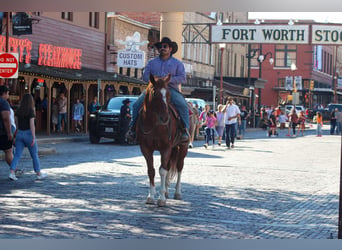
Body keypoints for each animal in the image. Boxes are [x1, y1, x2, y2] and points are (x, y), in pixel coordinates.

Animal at [137, 73, 190, 206]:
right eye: (155, 94)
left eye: (169, 95)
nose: (166, 117)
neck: (154, 123)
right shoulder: (145, 148)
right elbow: (151, 170)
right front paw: (151, 196)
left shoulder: (166, 147)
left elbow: (163, 171)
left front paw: (161, 199)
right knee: (168, 166)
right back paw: (166, 191)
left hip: (183, 147)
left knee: (179, 167)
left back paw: (177, 192)